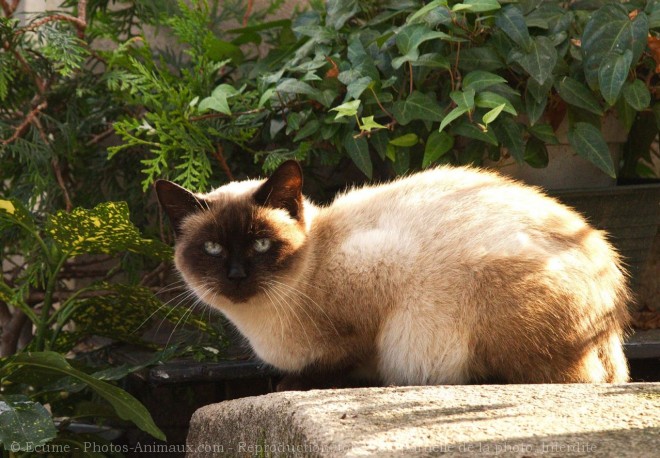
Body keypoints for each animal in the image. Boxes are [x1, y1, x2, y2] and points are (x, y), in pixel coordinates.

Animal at [155, 161, 628, 386]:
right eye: (212, 248)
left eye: (261, 244)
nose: (236, 275)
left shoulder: (376, 292)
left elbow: (333, 362)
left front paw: (291, 384)